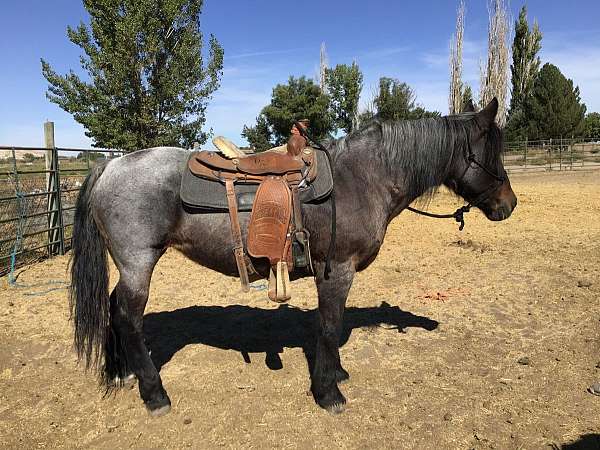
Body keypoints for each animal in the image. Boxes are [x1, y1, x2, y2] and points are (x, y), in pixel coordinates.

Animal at [69, 97, 516, 414]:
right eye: (491, 153)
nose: (509, 204)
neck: (362, 178)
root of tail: (109, 166)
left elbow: (327, 327)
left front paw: (336, 372)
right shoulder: (338, 271)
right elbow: (330, 327)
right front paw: (328, 392)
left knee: (113, 308)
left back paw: (121, 372)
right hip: (139, 262)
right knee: (127, 317)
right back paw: (154, 394)